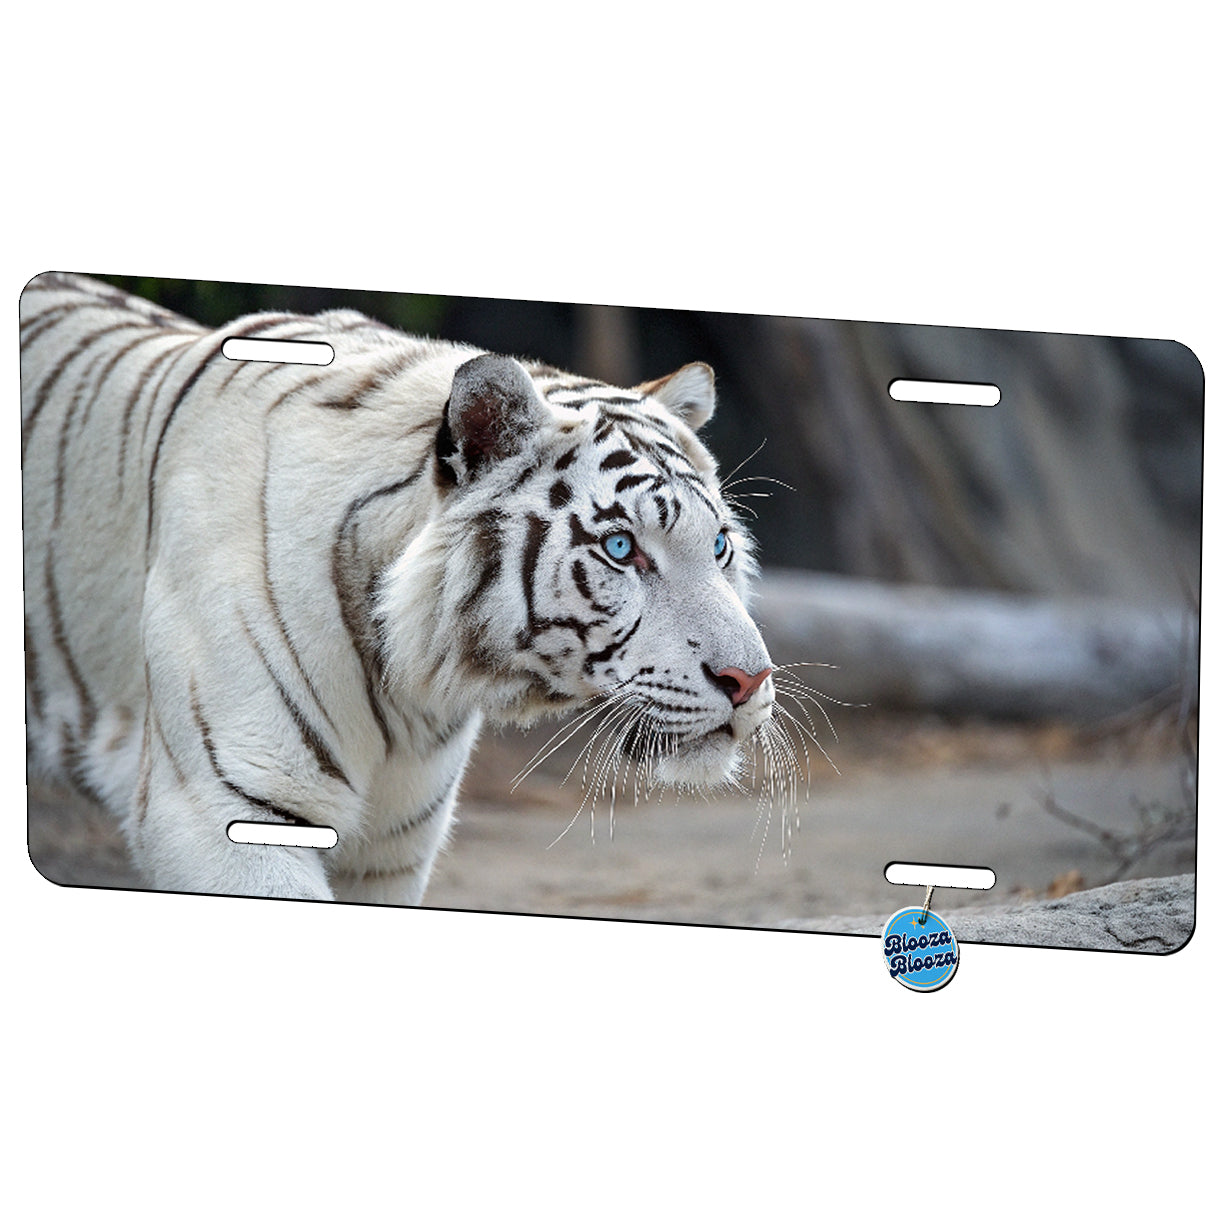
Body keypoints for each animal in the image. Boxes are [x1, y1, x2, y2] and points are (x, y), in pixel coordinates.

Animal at [21, 272, 779, 905]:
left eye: (719, 545)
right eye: (621, 548)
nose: (750, 680)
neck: (408, 686)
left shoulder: (391, 850)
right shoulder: (221, 811)